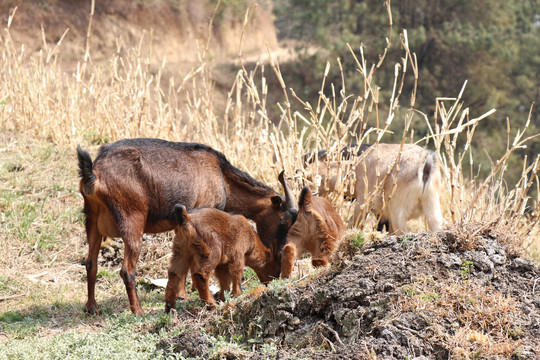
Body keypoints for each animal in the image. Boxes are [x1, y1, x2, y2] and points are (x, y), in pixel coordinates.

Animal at [76, 139, 298, 316]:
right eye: (284, 220)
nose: (279, 254)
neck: (222, 176)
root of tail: (94, 174)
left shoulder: (181, 223)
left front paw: (181, 295)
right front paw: (186, 294)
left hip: (91, 219)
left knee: (90, 264)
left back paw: (91, 307)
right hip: (132, 219)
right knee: (127, 270)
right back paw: (137, 311)